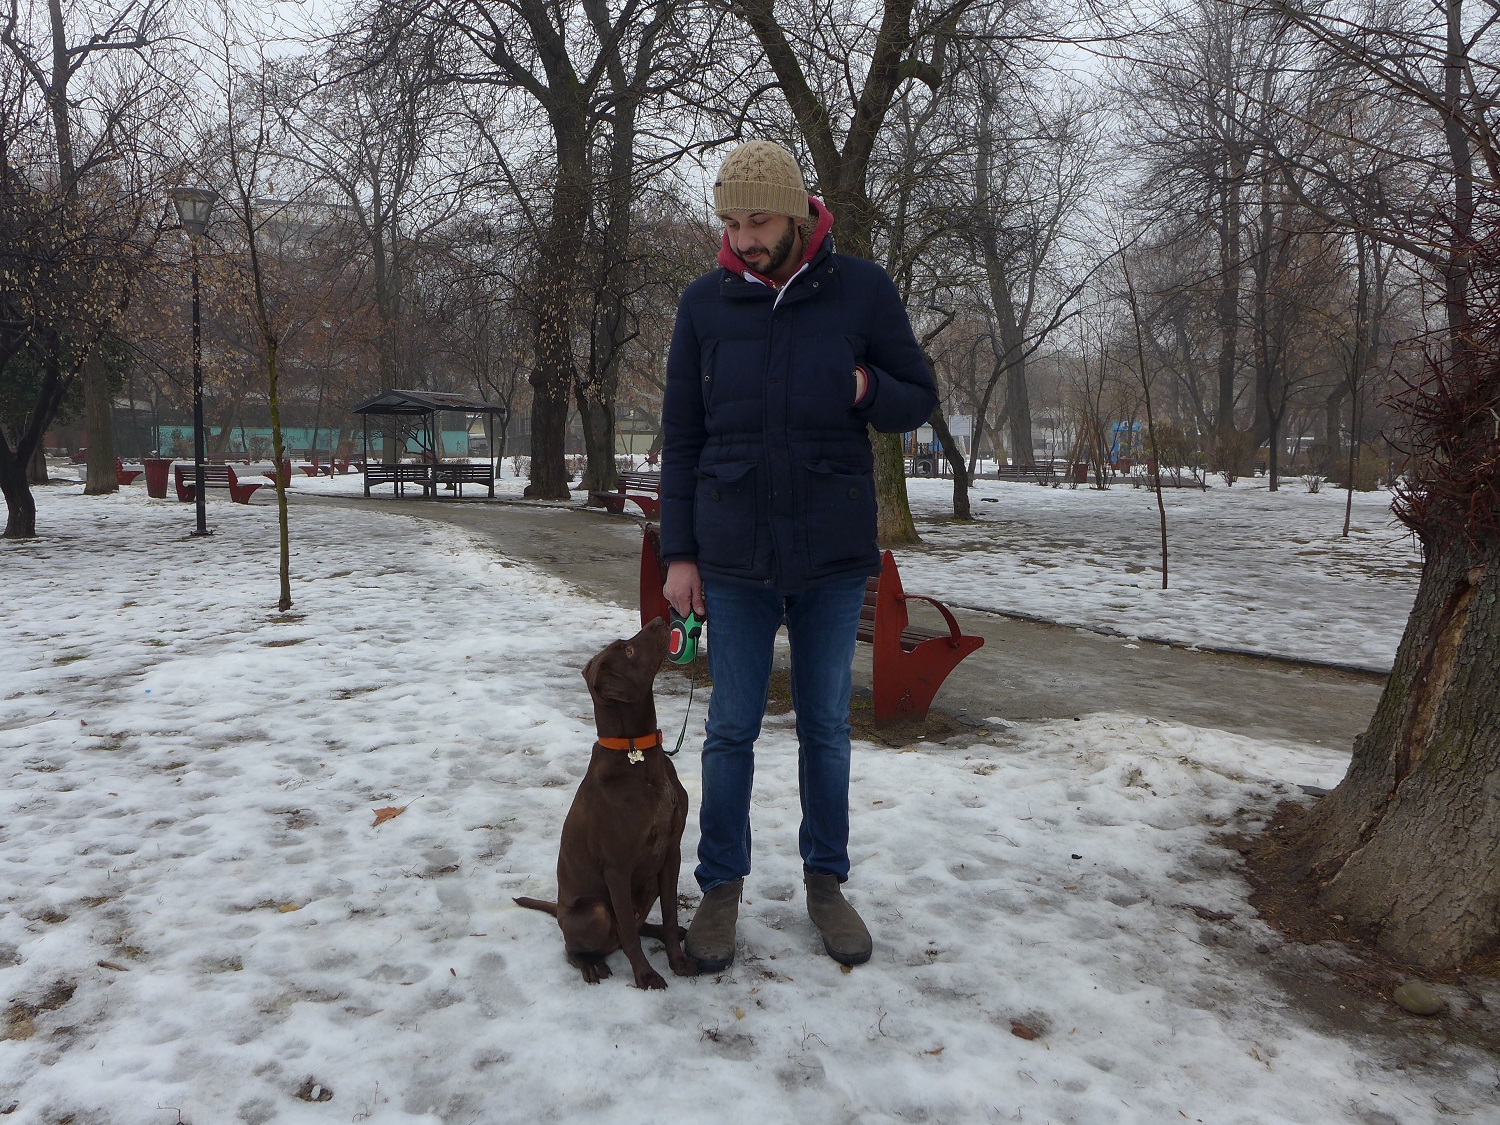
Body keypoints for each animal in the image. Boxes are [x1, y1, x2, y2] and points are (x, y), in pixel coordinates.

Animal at [516, 621, 696, 990]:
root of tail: (559, 912)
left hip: (649, 882)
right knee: (579, 946)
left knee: (641, 925)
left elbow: (670, 916)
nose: (659, 621)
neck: (636, 755)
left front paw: (678, 960)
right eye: (628, 650)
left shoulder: (671, 852)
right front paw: (645, 975)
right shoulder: (617, 868)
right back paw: (590, 964)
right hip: (595, 911)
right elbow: (628, 931)